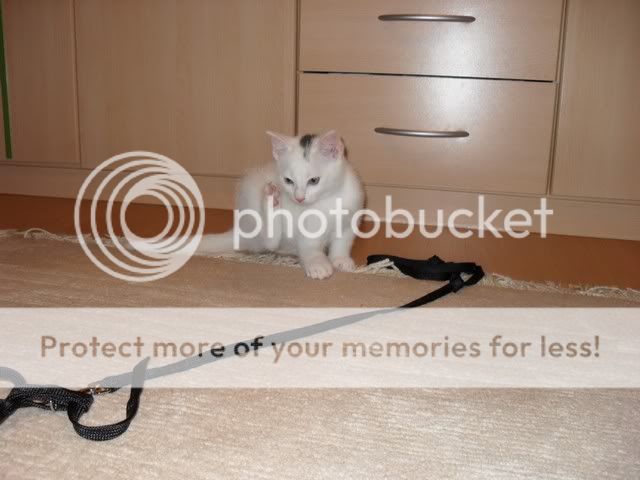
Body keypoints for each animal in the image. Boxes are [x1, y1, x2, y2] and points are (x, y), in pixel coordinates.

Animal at [196, 130, 365, 279]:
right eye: (288, 180)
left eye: (314, 180)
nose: (299, 198)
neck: (327, 199)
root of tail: (241, 228)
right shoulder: (307, 230)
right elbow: (309, 247)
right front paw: (317, 264)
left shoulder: (350, 220)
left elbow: (342, 243)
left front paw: (340, 260)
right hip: (251, 189)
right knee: (268, 242)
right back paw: (271, 201)